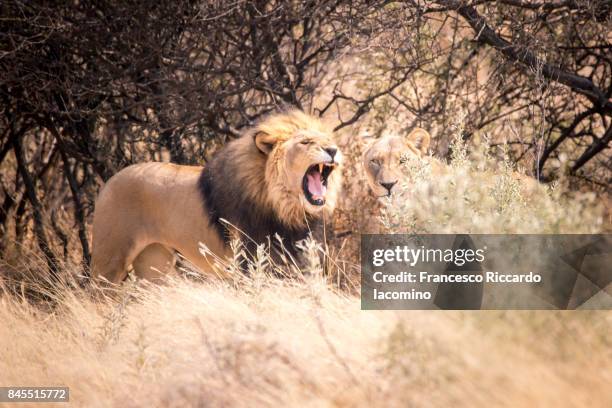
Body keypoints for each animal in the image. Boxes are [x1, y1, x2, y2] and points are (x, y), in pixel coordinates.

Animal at [91, 109, 342, 284]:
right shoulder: (249, 263)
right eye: (306, 142)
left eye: (329, 142)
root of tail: (109, 181)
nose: (333, 150)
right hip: (109, 262)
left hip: (154, 265)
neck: (282, 206)